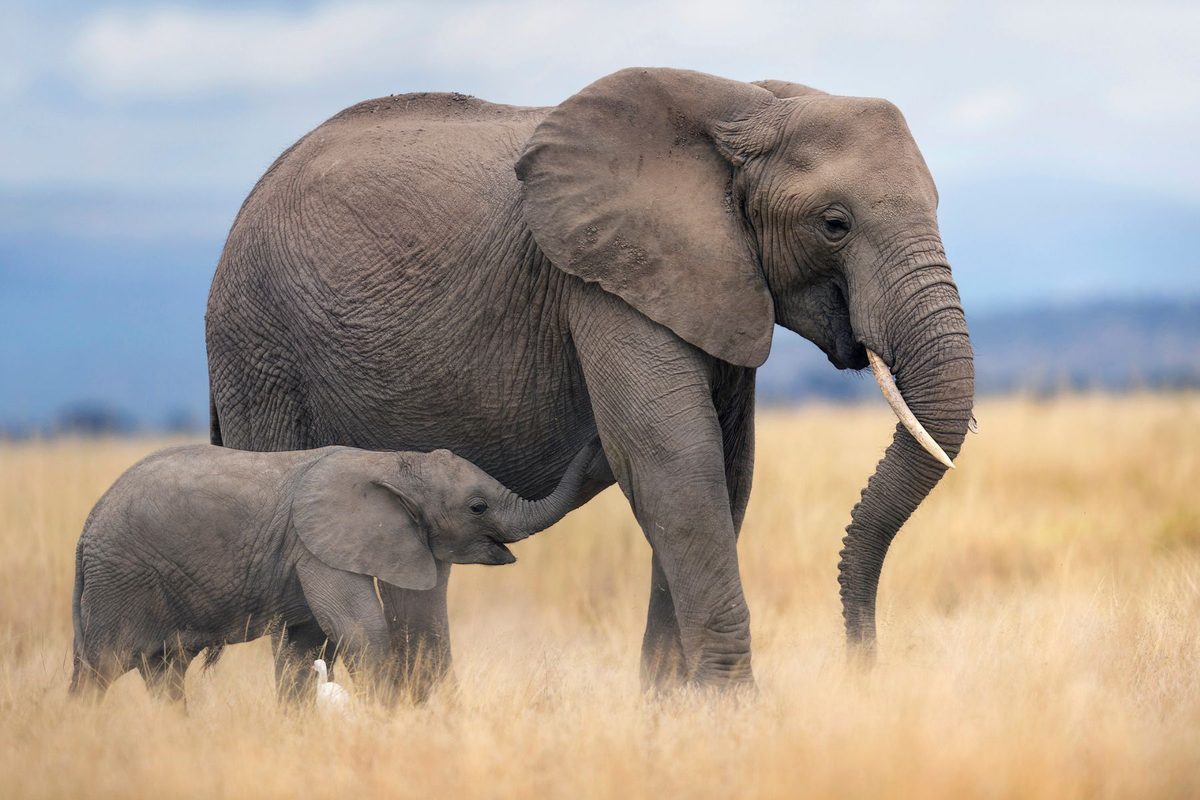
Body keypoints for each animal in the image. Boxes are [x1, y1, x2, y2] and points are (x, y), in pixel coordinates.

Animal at [69, 441, 598, 705]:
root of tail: (86, 530)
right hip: (119, 579)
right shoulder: (317, 548)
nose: (595, 442)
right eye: (477, 506)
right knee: (100, 668)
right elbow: (362, 630)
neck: (395, 463)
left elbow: (308, 647)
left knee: (163, 674)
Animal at [205, 67, 975, 691]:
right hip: (260, 351)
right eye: (834, 223)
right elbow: (673, 463)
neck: (745, 104)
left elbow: (724, 472)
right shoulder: (602, 280)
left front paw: (676, 716)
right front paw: (734, 717)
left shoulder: (710, 279)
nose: (862, 666)